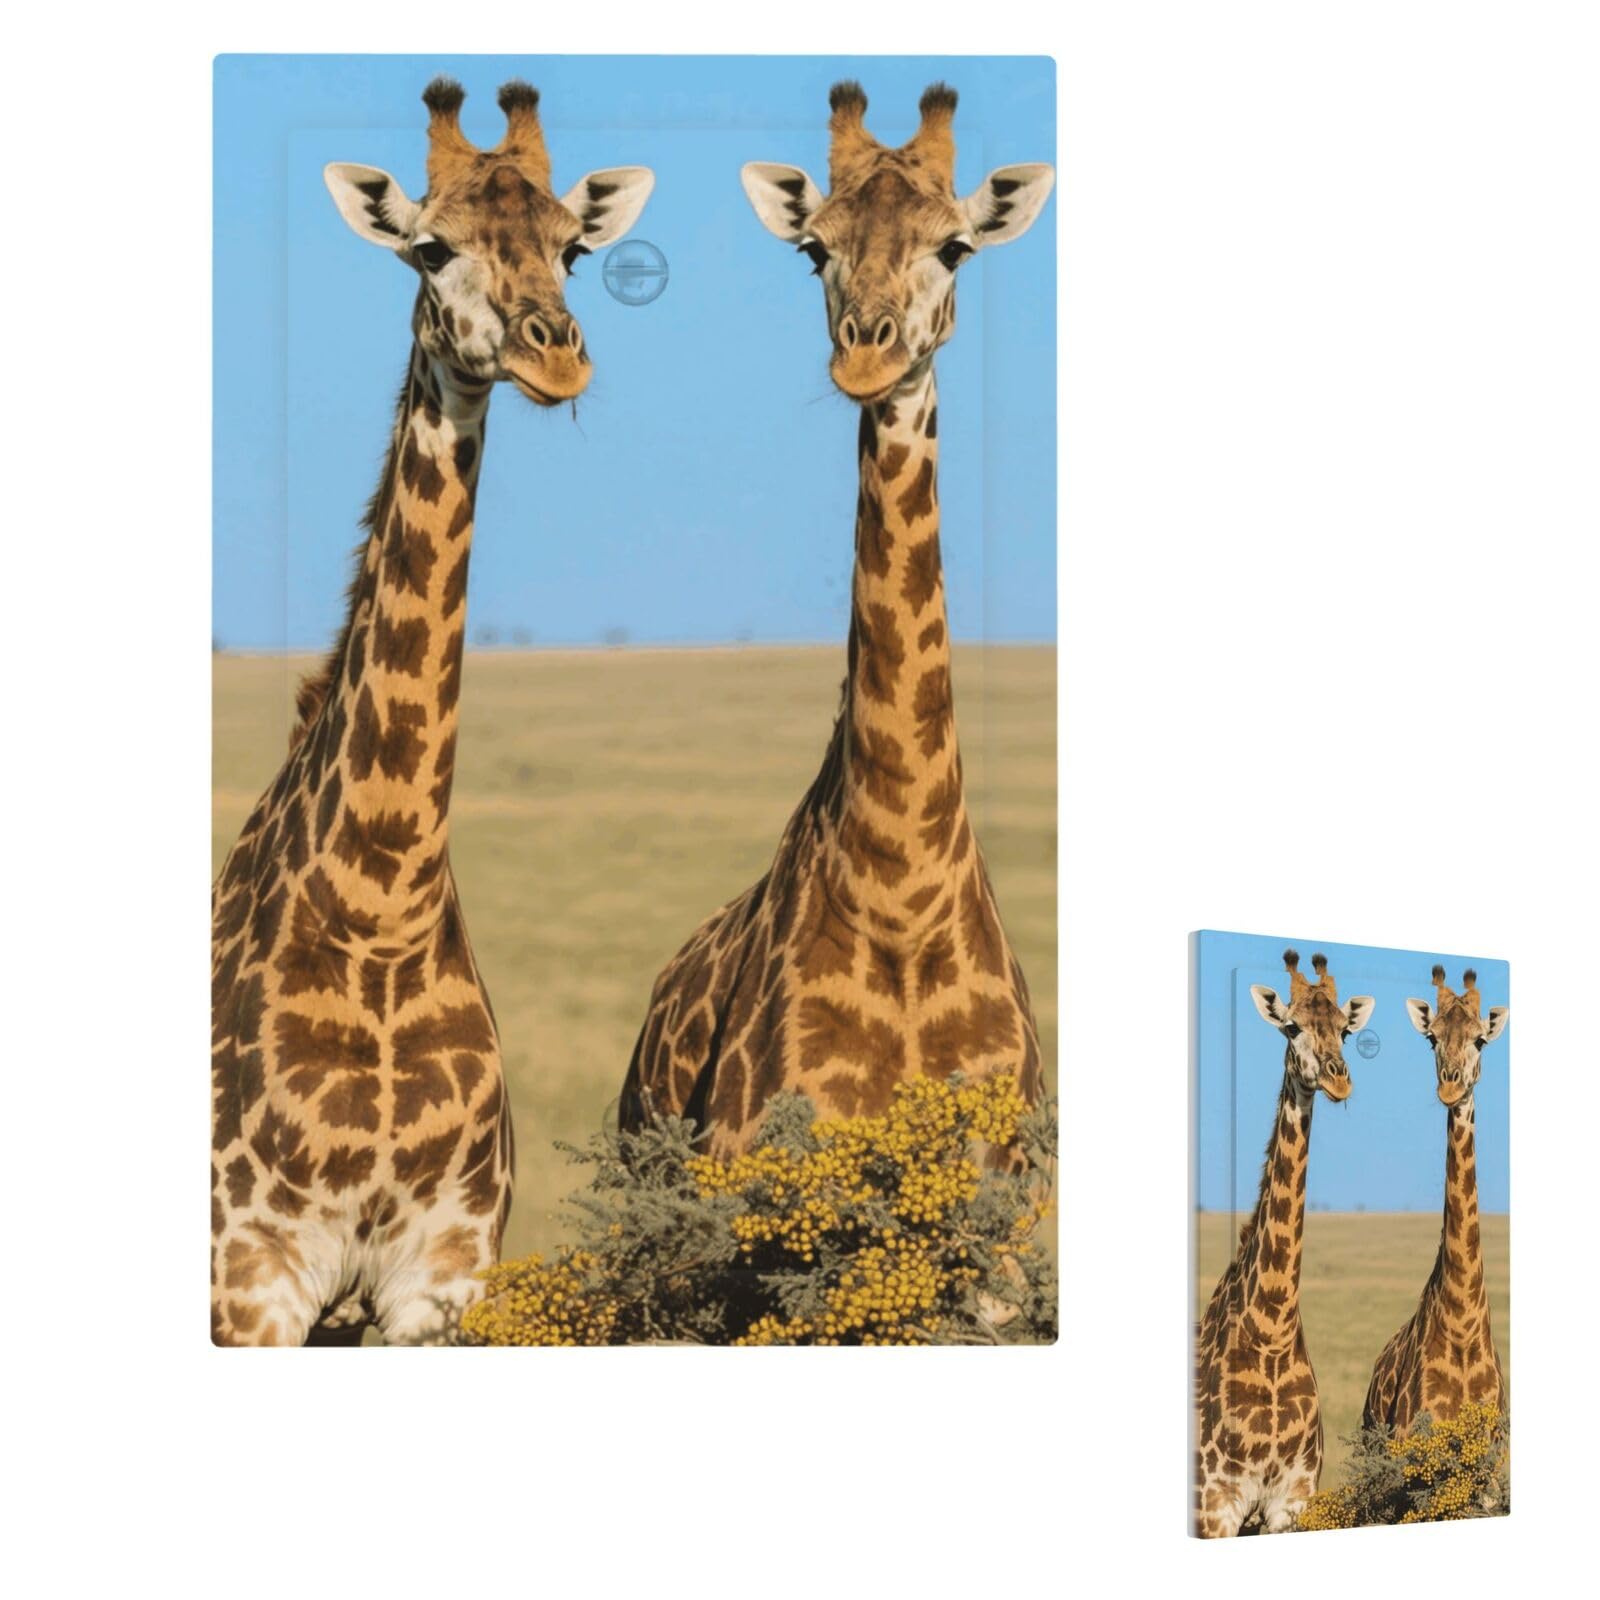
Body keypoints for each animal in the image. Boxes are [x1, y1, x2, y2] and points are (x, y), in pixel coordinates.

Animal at [210, 78, 654, 1345]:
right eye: (430, 246)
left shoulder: (441, 1275)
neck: (380, 916)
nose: (558, 359)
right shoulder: (249, 1276)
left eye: (571, 246)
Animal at [1194, 950, 1376, 1536]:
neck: (1270, 1332)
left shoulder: (1291, 1501)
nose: (1340, 1081)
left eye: (1345, 1028)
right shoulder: (1213, 1504)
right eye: (1292, 1026)